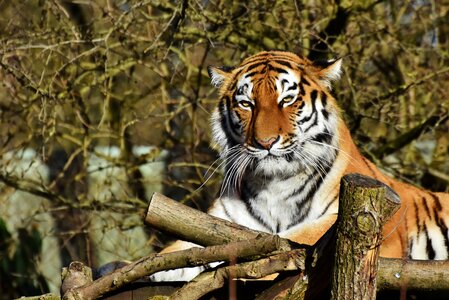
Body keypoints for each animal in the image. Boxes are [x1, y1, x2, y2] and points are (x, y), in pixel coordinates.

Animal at [150, 50, 448, 282]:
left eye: (286, 100)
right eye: (246, 104)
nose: (265, 142)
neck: (273, 184)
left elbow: (295, 241)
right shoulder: (223, 218)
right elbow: (183, 246)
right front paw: (159, 268)